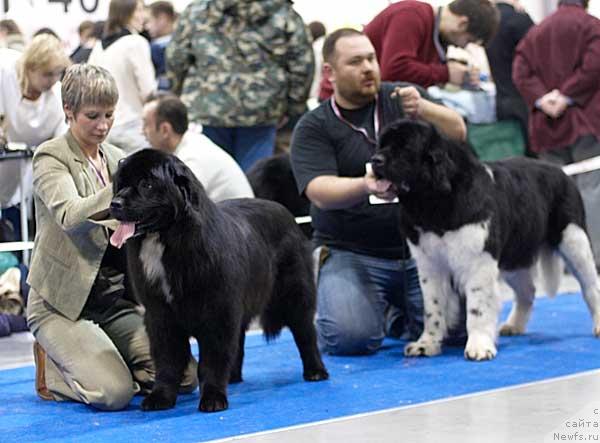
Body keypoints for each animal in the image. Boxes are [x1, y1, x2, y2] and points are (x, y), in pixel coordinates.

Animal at [108, 149, 328, 412]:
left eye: (147, 184)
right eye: (121, 183)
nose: (115, 203)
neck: (167, 239)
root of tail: (286, 213)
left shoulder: (217, 313)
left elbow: (212, 360)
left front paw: (213, 398)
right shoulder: (160, 315)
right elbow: (166, 360)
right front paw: (161, 397)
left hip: (295, 293)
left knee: (305, 331)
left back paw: (315, 371)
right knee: (239, 342)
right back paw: (233, 377)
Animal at [370, 120, 600, 360]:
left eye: (405, 147)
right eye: (382, 145)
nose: (375, 160)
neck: (436, 201)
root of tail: (560, 171)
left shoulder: (479, 261)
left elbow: (477, 307)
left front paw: (479, 346)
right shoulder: (430, 265)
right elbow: (432, 307)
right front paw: (427, 344)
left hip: (574, 240)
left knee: (590, 286)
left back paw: (598, 325)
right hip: (513, 258)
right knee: (528, 291)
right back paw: (513, 326)